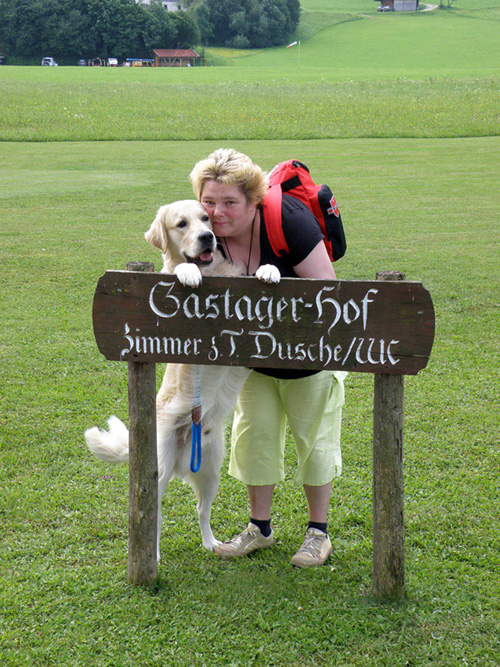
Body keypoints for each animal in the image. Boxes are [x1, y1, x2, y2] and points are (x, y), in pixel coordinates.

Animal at [86, 198, 282, 560]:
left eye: (206, 218)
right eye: (181, 224)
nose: (207, 237)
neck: (213, 273)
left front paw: (269, 270)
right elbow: (176, 271)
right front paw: (186, 271)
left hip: (210, 469)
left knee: (201, 510)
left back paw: (211, 544)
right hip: (158, 470)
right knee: (153, 514)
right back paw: (153, 556)